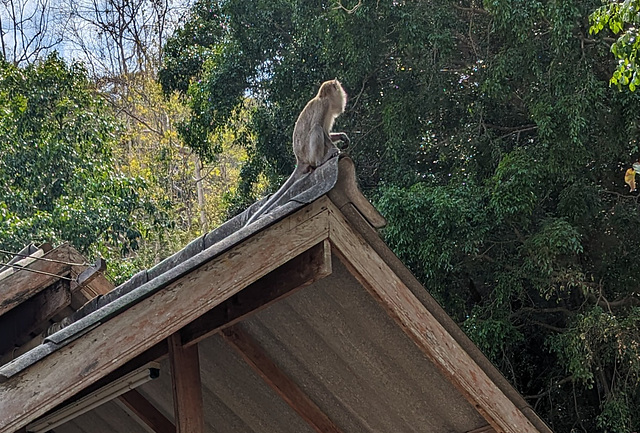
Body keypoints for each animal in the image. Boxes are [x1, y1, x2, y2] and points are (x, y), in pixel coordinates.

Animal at [245, 79, 348, 226]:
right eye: (339, 90)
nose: (344, 96)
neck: (322, 97)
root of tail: (300, 160)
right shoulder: (324, 106)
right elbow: (321, 129)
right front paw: (335, 149)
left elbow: (327, 133)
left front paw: (342, 137)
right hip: (308, 153)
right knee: (316, 129)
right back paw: (321, 160)